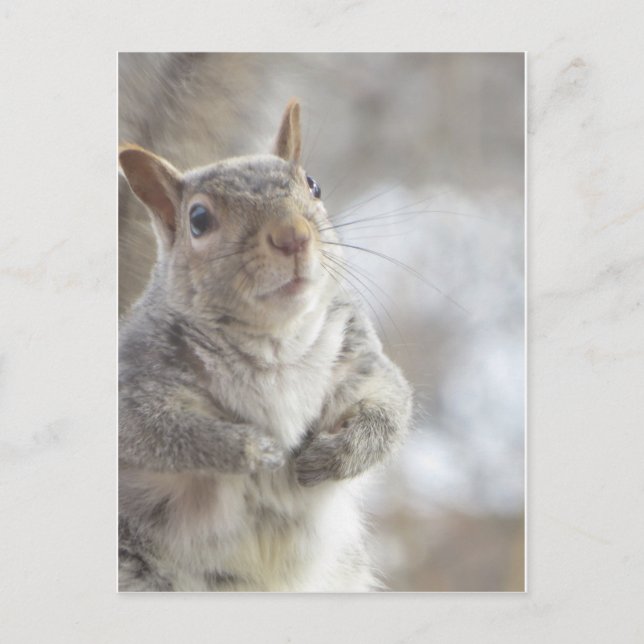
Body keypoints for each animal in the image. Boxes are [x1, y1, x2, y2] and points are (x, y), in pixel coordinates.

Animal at [118, 99, 413, 591]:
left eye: (313, 184)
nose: (292, 235)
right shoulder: (136, 379)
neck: (276, 342)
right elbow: (159, 433)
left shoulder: (360, 361)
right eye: (199, 220)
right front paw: (255, 450)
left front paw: (336, 455)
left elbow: (390, 410)